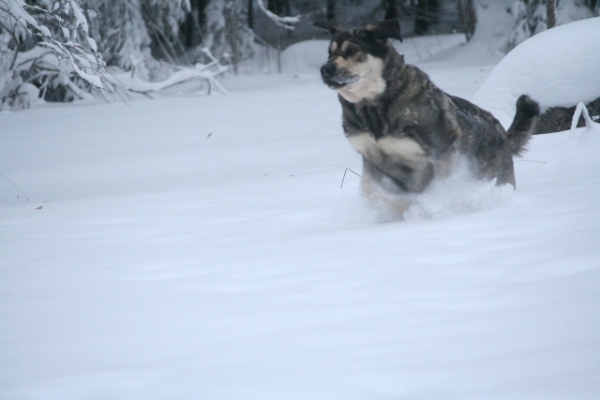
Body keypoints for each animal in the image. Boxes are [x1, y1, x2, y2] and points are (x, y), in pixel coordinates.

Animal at [314, 19, 540, 198]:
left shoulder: (441, 152)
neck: (373, 104)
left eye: (352, 50)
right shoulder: (372, 160)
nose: (325, 69)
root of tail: (502, 132)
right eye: (329, 53)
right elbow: (373, 192)